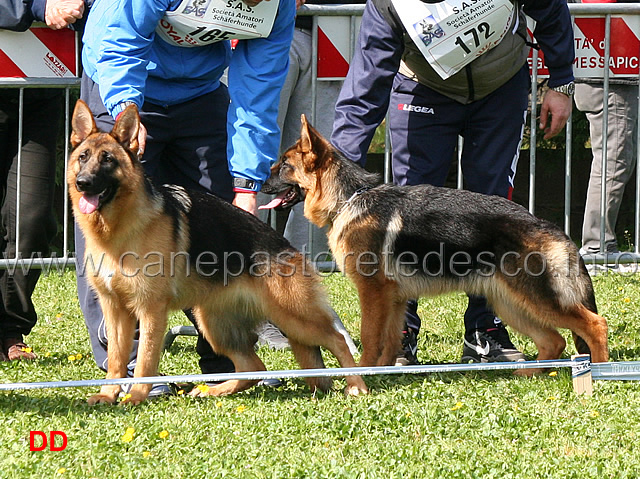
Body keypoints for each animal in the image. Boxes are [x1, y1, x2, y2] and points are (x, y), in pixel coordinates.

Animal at [67, 101, 368, 404]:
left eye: (108, 160)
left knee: (337, 340)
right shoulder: (115, 310)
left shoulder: (150, 310)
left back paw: (357, 385)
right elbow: (117, 360)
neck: (118, 229)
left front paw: (136, 396)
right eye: (83, 157)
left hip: (293, 317)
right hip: (213, 324)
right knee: (254, 368)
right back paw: (214, 389)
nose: (83, 182)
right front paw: (108, 395)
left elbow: (144, 361)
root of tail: (285, 245)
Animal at [262, 115, 608, 372]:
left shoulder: (372, 292)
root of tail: (550, 226)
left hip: (536, 299)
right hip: (511, 303)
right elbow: (390, 340)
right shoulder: (394, 299)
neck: (349, 198)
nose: (259, 182)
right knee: (554, 341)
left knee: (595, 325)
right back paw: (529, 374)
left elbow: (370, 336)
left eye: (284, 165)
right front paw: (383, 372)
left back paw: (602, 373)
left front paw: (363, 372)